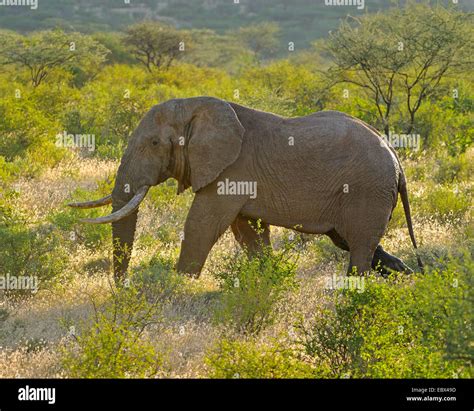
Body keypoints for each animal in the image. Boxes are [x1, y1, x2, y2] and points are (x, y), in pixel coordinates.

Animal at [68, 97, 424, 284]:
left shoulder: (230, 170)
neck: (195, 107)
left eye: (155, 144)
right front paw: (266, 280)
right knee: (356, 243)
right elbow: (248, 232)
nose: (121, 288)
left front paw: (178, 285)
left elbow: (201, 225)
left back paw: (354, 290)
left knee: (360, 247)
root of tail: (397, 159)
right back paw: (409, 279)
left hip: (367, 189)